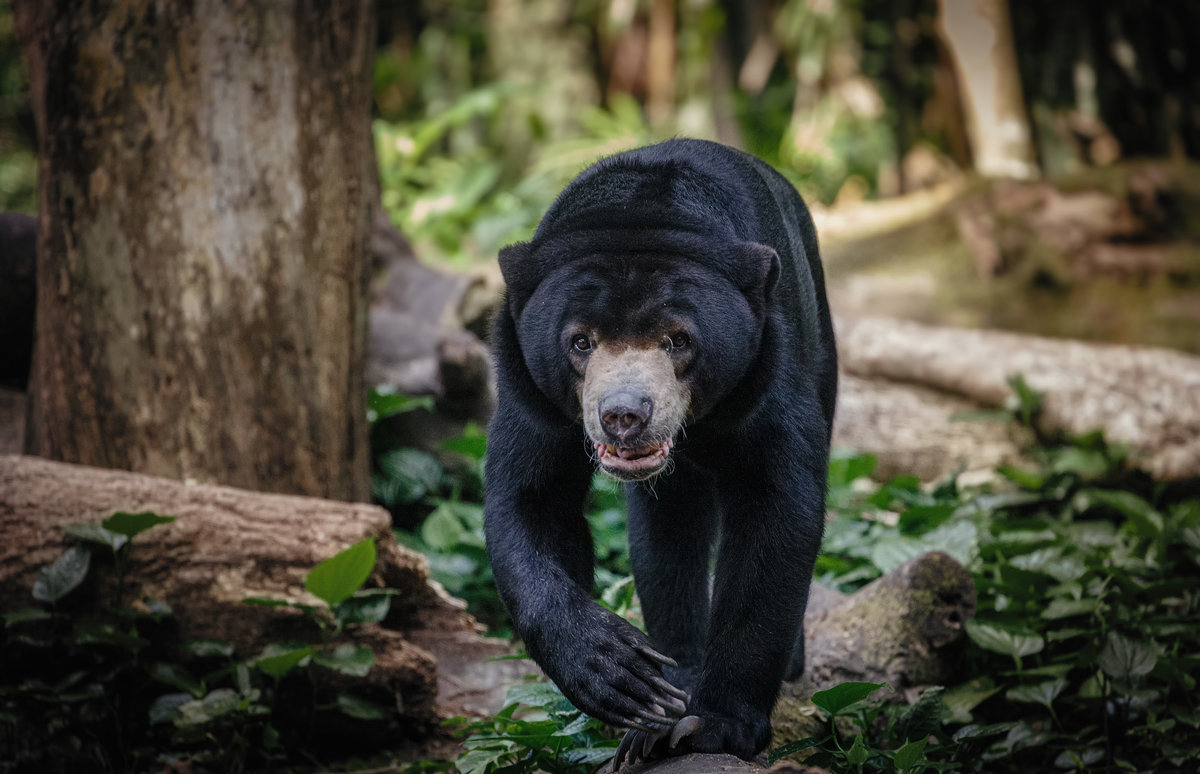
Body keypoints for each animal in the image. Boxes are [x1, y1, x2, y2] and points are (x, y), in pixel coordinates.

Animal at [477, 138, 835, 768]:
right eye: (580, 341)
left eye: (678, 340)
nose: (625, 415)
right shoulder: (526, 383)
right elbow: (533, 499)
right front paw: (618, 674)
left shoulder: (771, 363)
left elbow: (777, 508)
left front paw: (712, 726)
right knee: (665, 537)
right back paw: (667, 690)